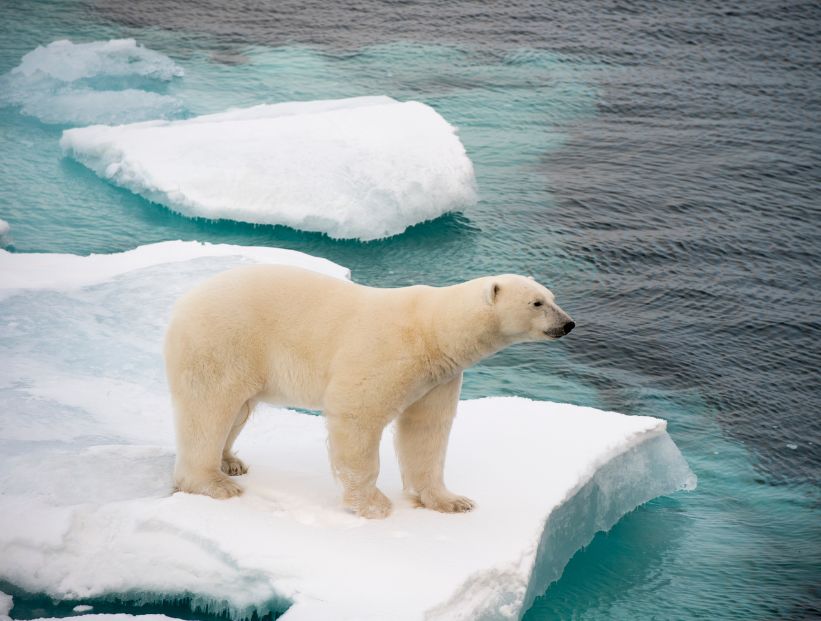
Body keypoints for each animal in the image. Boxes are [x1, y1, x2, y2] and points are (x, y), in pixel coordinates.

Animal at [165, 266, 576, 520]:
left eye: (552, 296)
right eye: (537, 303)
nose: (568, 323)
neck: (432, 330)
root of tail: (183, 302)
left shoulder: (438, 377)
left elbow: (426, 430)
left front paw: (451, 501)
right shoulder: (387, 352)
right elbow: (357, 413)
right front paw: (373, 505)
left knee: (237, 412)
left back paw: (230, 460)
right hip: (222, 342)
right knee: (210, 408)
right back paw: (213, 483)